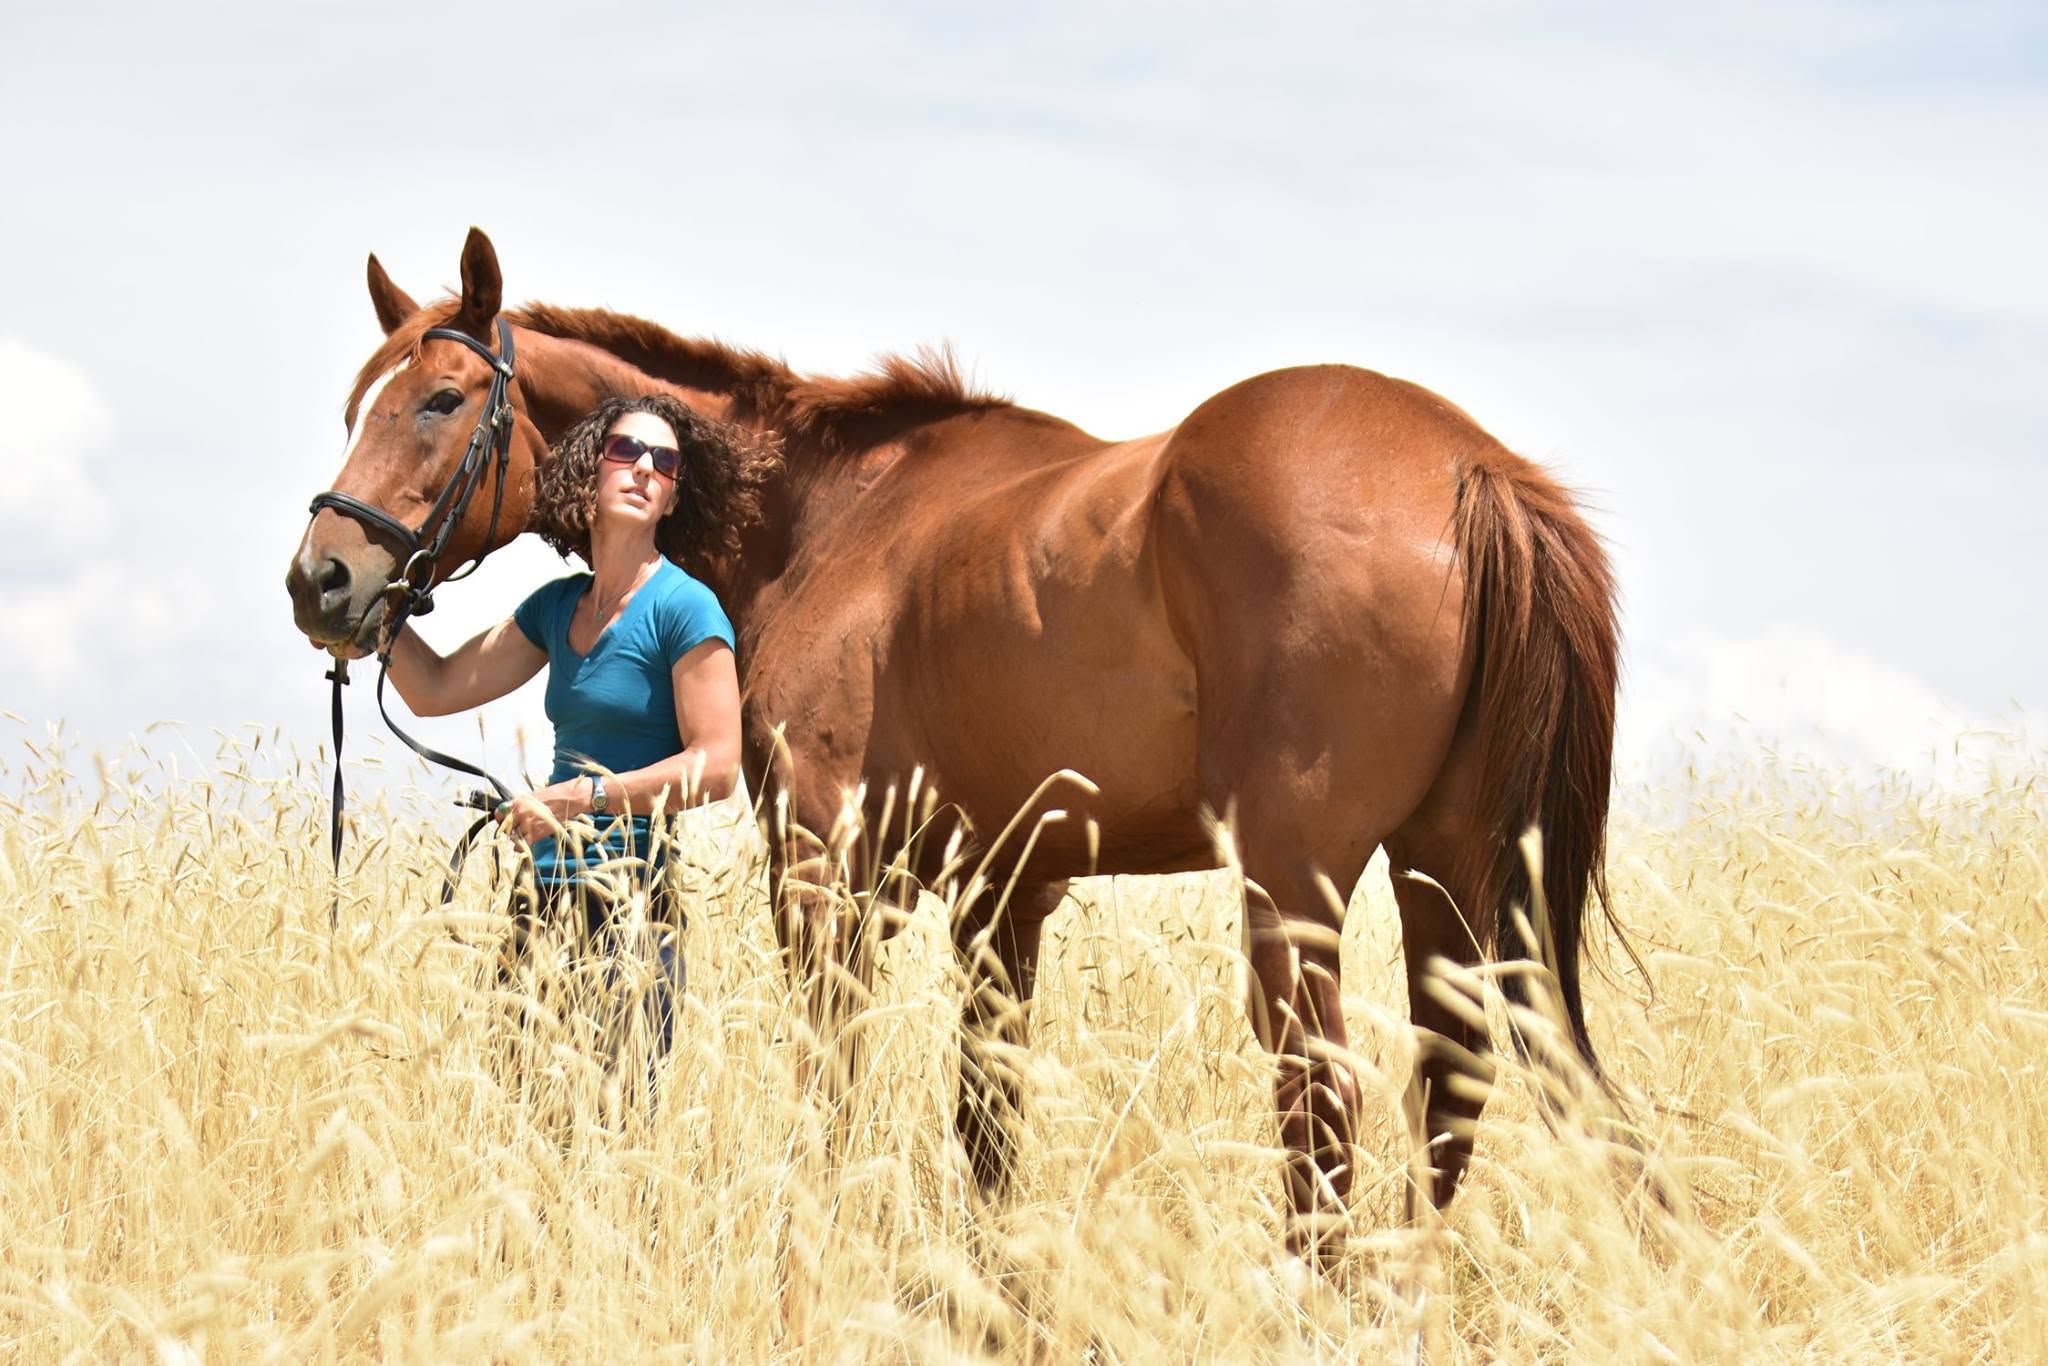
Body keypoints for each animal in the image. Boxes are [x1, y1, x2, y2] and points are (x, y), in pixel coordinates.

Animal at [286, 228, 1622, 1257]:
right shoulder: (1002, 895)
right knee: (1449, 1090)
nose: (323, 580)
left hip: (1296, 883)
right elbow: (986, 1118)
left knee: (1321, 1099)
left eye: (440, 400)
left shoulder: (823, 867)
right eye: (355, 405)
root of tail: (1468, 467)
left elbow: (832, 1076)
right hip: (1446, 865)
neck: (834, 517)